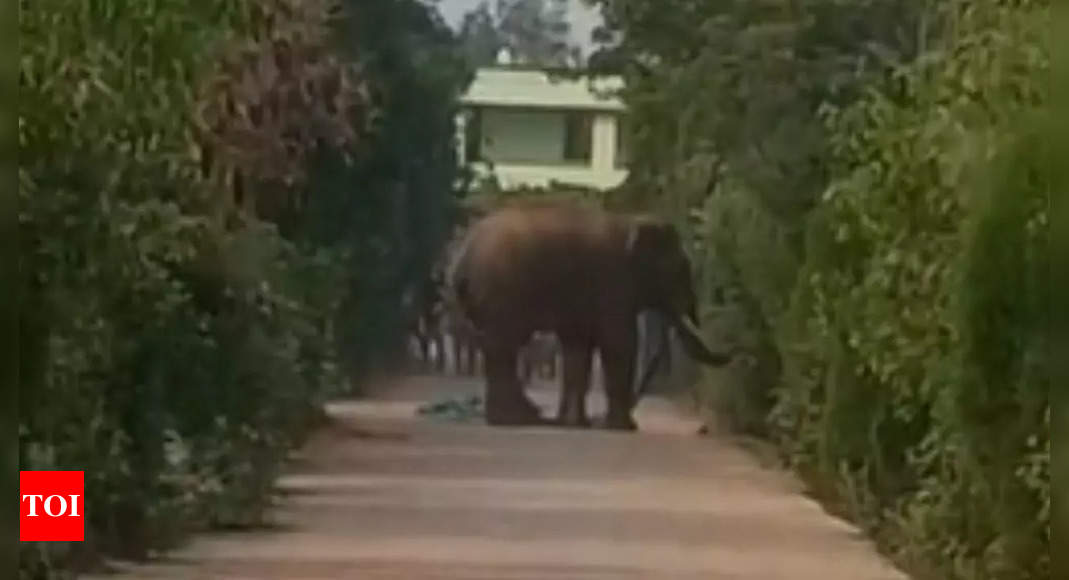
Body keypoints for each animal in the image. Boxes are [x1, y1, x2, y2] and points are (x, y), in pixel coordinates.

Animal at [444, 200, 735, 431]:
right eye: (681, 270)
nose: (736, 351)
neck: (630, 220)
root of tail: (462, 258)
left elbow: (578, 349)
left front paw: (576, 424)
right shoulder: (612, 280)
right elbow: (620, 343)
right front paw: (623, 428)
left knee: (498, 348)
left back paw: (526, 418)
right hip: (501, 292)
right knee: (504, 347)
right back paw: (519, 419)